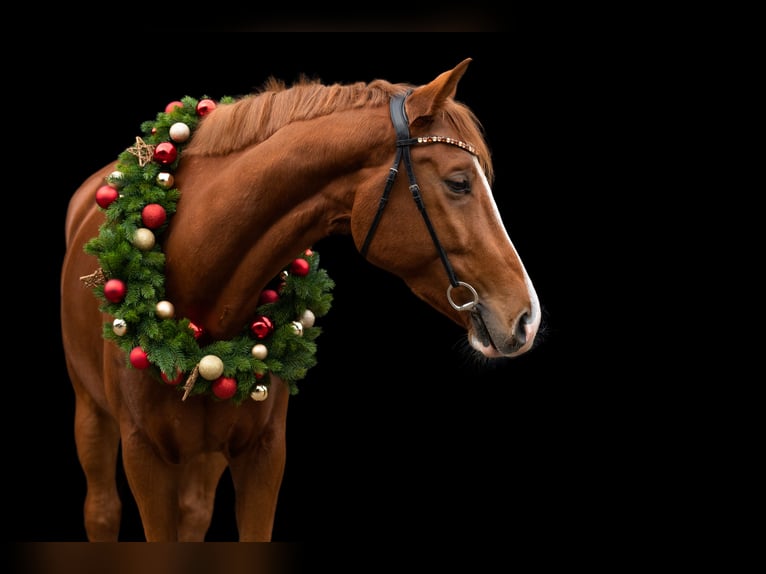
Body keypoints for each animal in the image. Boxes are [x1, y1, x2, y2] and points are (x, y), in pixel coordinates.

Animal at [60, 57, 541, 542]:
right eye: (459, 182)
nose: (527, 318)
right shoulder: (144, 456)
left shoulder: (265, 454)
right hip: (91, 413)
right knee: (101, 510)